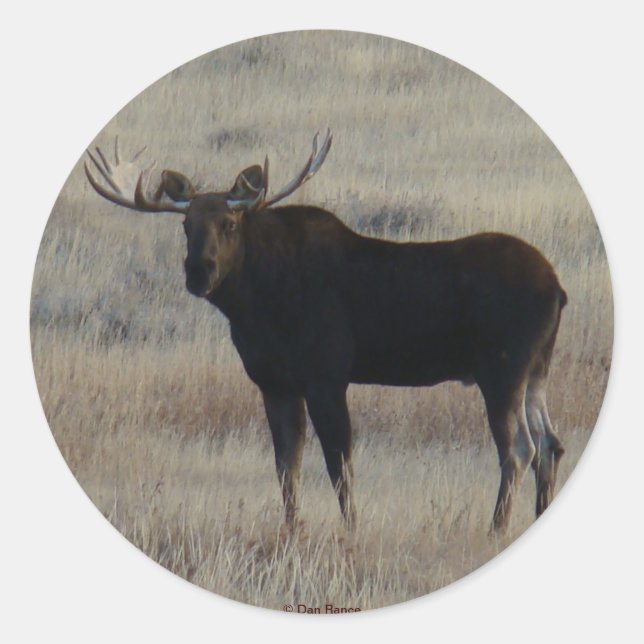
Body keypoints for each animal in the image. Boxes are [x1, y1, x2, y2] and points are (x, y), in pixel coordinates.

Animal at [85, 130, 567, 533]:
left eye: (230, 224)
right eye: (186, 226)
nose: (198, 272)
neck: (255, 305)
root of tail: (558, 289)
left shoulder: (326, 376)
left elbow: (339, 465)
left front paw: (351, 531)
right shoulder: (274, 383)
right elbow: (287, 466)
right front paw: (292, 530)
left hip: (502, 371)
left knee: (519, 448)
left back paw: (495, 529)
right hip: (536, 371)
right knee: (550, 443)